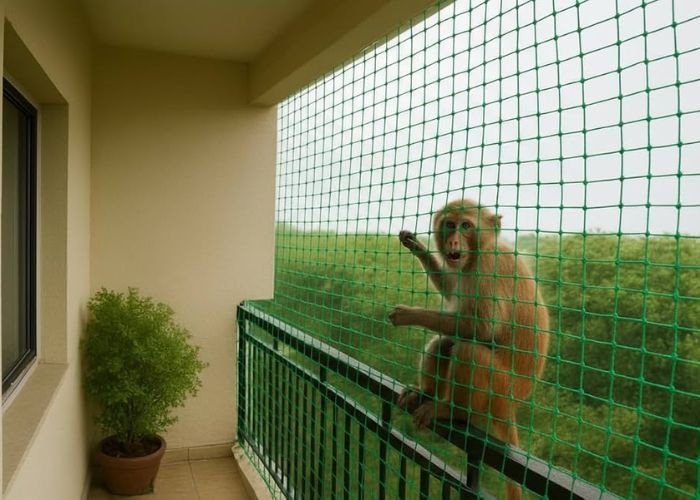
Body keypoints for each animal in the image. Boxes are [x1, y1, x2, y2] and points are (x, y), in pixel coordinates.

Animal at [388, 198, 550, 500]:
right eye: (450, 224)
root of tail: (514, 404)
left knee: (469, 351)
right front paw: (419, 247)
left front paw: (410, 314)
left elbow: (482, 328)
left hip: (501, 389)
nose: (453, 239)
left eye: (465, 226)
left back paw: (453, 411)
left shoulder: (488, 267)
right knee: (444, 343)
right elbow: (452, 290)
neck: (477, 252)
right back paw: (426, 393)